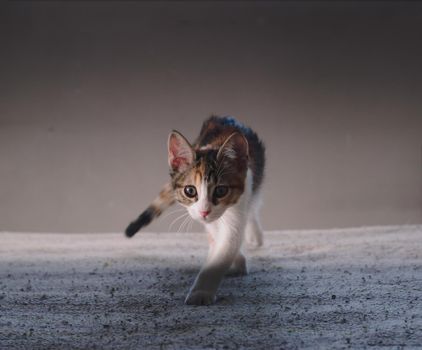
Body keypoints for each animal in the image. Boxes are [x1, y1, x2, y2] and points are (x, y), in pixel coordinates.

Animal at [124, 115, 268, 304]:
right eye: (190, 191)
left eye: (221, 191)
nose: (204, 211)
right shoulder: (206, 217)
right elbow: (218, 236)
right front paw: (232, 259)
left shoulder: (241, 196)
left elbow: (229, 240)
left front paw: (201, 292)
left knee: (253, 208)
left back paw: (255, 235)